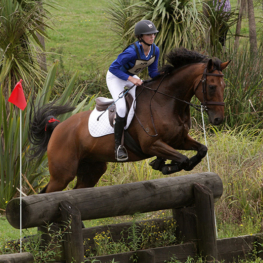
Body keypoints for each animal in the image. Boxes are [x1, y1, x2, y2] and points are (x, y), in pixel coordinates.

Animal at [28, 48, 231, 194]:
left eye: (224, 86)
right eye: (212, 87)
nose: (218, 119)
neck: (167, 101)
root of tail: (58, 127)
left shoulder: (178, 140)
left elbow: (201, 151)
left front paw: (162, 164)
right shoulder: (152, 144)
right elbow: (182, 159)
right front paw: (165, 166)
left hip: (92, 169)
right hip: (62, 174)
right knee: (48, 193)